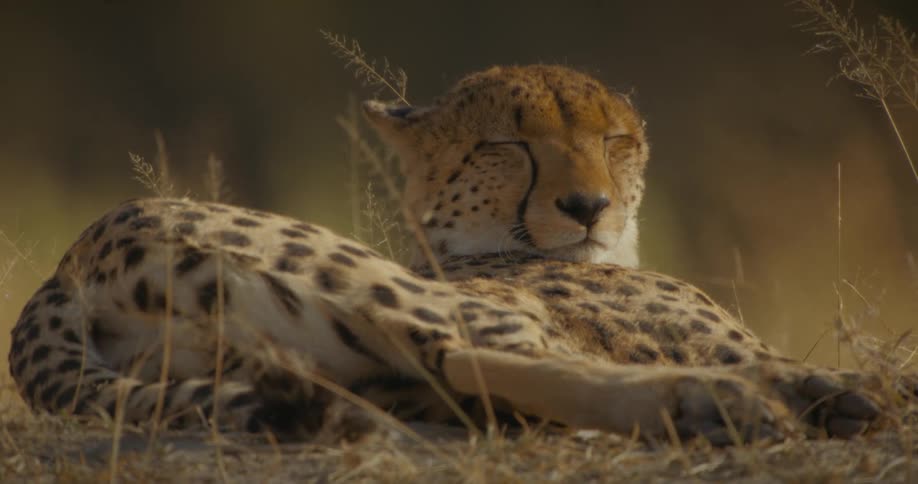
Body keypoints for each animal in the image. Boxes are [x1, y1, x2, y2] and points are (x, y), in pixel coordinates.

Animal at [8, 65, 910, 446]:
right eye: (509, 145)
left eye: (614, 142)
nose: (590, 207)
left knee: (461, 379)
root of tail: (62, 269)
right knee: (479, 353)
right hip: (351, 276)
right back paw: (726, 400)